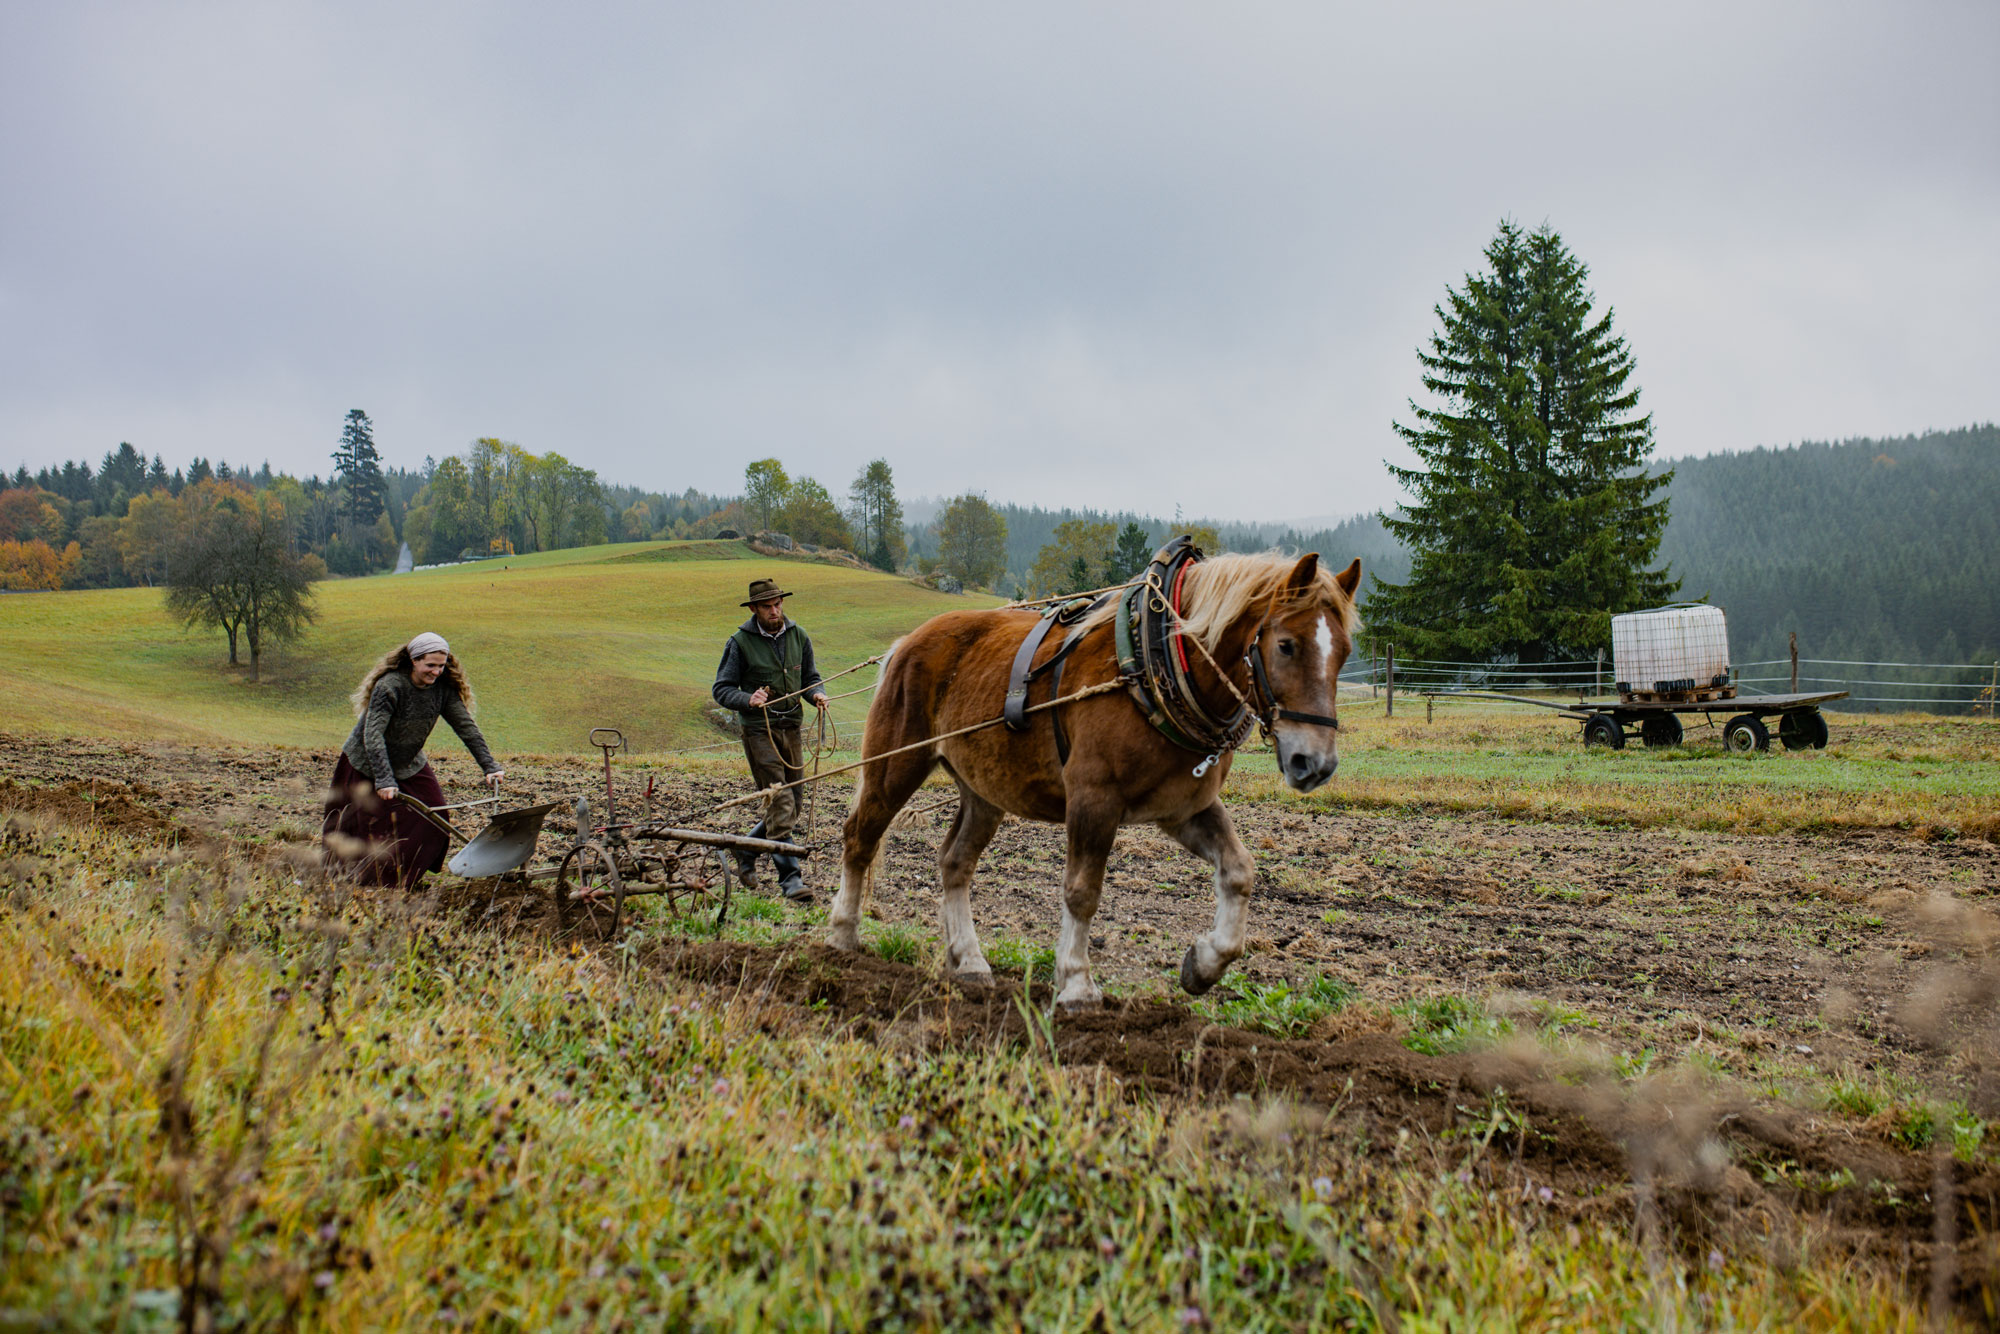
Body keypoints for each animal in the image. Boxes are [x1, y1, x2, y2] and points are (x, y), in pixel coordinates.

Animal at [824, 548, 1360, 1008]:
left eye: (1344, 652)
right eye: (1287, 645)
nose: (1315, 763)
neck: (1152, 661)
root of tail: (906, 642)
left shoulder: (1185, 808)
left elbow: (1240, 871)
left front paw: (1205, 964)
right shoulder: (1092, 801)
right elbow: (1082, 892)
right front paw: (1077, 983)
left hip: (982, 789)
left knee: (955, 863)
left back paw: (971, 961)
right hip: (895, 764)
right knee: (859, 838)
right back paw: (843, 934)